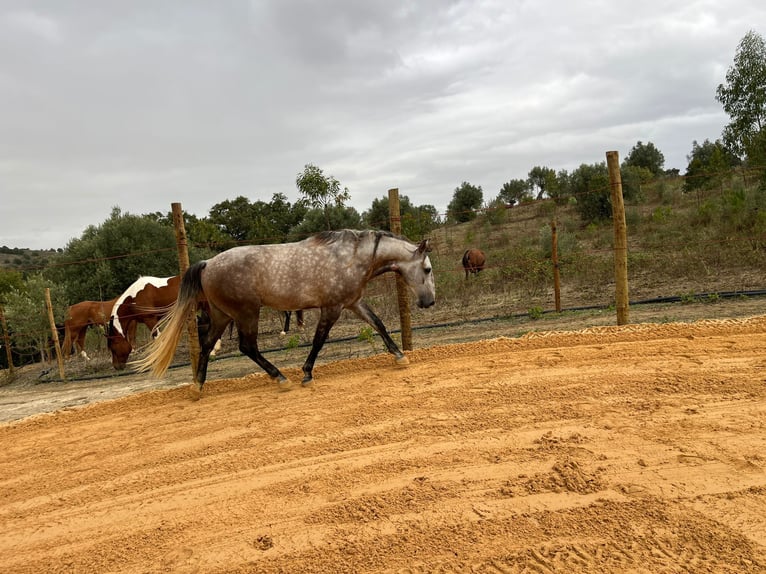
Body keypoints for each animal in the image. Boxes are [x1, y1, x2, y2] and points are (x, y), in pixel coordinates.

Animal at [136, 232, 438, 390]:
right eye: (427, 269)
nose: (429, 302)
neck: (352, 258)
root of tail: (208, 263)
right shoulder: (332, 308)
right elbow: (319, 340)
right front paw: (306, 374)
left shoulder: (352, 302)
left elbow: (378, 324)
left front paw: (400, 357)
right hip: (246, 313)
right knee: (247, 346)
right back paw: (281, 378)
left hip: (223, 315)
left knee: (209, 343)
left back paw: (198, 387)